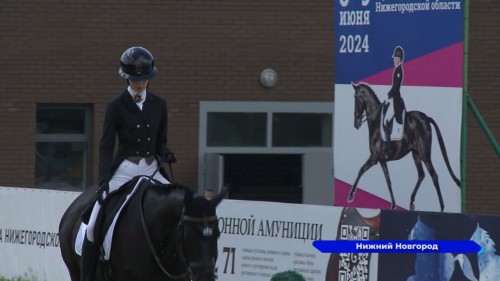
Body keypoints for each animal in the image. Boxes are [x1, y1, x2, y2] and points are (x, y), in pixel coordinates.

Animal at [350, 82, 458, 211]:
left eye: (356, 97)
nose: (356, 124)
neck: (376, 122)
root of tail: (426, 118)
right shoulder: (381, 160)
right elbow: (388, 181)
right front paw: (393, 205)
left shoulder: (374, 158)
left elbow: (361, 170)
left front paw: (350, 196)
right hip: (415, 153)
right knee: (421, 175)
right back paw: (411, 202)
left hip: (424, 153)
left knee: (434, 175)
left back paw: (441, 208)